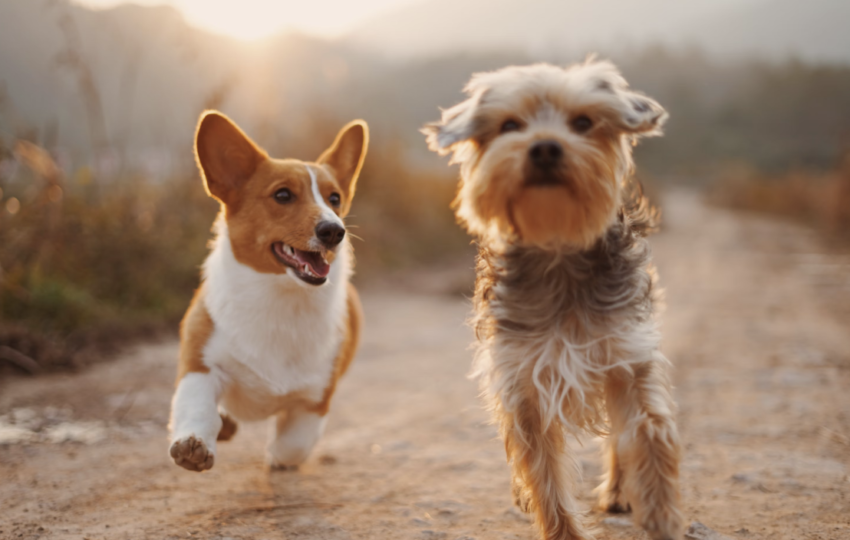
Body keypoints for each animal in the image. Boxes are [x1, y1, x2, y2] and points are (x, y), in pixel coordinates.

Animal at [169, 110, 368, 472]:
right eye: (283, 195)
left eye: (334, 199)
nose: (335, 231)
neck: (280, 297)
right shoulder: (200, 364)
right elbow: (197, 407)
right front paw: (193, 444)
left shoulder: (315, 399)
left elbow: (293, 445)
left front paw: (276, 457)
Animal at [422, 60, 684, 540]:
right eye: (510, 125)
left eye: (583, 123)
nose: (544, 148)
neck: (558, 248)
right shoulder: (522, 379)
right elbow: (542, 470)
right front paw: (560, 526)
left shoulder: (627, 356)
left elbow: (650, 430)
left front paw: (661, 514)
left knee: (618, 438)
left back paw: (619, 491)